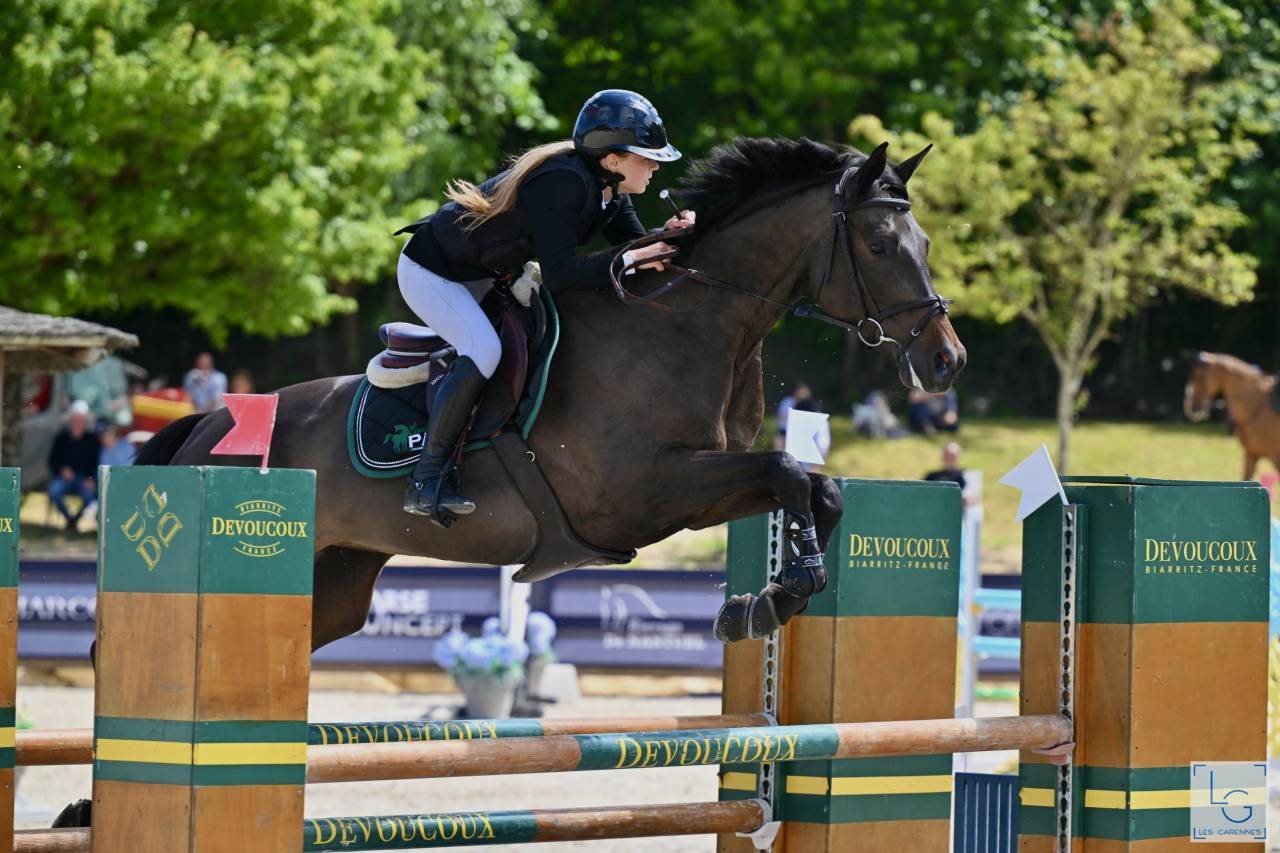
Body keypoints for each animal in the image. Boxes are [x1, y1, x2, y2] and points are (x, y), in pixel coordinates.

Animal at [138, 137, 965, 648]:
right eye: (881, 245)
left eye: (925, 244)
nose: (947, 360)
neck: (689, 322)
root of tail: (208, 421)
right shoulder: (643, 489)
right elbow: (788, 469)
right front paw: (780, 592)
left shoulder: (693, 487)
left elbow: (816, 487)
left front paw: (770, 599)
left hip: (336, 579)